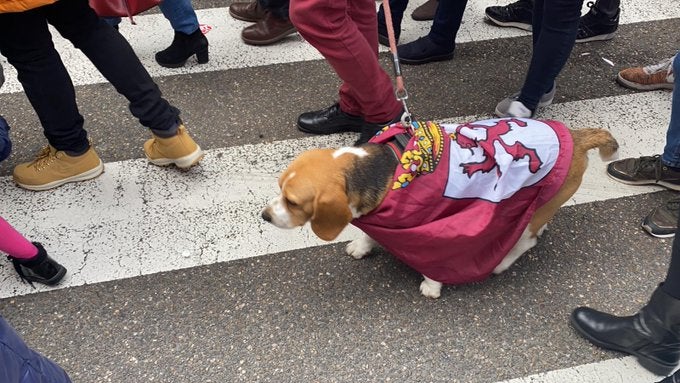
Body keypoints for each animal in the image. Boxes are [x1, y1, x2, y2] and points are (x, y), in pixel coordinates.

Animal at [262, 118, 620, 298]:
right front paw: (362, 246)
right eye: (278, 189)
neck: (380, 169)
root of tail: (577, 136)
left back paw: (503, 261)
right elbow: (370, 235)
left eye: (293, 202)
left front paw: (432, 286)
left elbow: (433, 260)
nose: (264, 216)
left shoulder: (430, 232)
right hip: (544, 198)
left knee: (526, 240)